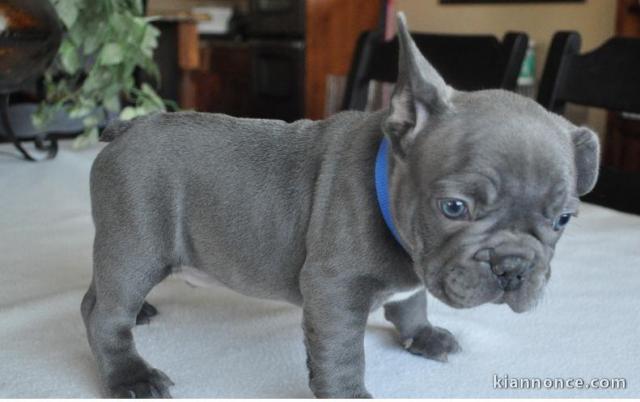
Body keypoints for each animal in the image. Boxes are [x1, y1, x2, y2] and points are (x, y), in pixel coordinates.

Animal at [80, 13, 600, 398]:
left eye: (563, 219)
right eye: (453, 208)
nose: (513, 266)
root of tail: (127, 128)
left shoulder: (411, 274)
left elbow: (411, 302)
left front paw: (422, 334)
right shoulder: (333, 290)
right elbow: (343, 353)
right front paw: (350, 394)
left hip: (123, 249)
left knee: (98, 292)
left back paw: (140, 313)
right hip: (136, 245)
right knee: (102, 313)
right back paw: (131, 376)